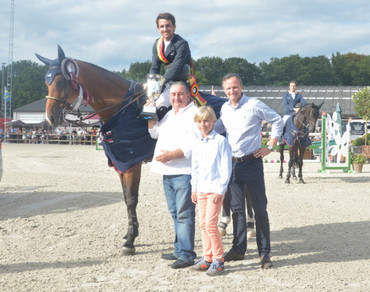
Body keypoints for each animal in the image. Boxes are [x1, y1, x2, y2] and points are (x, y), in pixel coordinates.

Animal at [35, 44, 154, 254]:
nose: (50, 118)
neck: (123, 109)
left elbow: (132, 198)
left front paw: (130, 241)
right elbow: (126, 198)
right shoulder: (120, 164)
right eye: (47, 82)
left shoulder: (132, 163)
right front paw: (129, 234)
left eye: (61, 82)